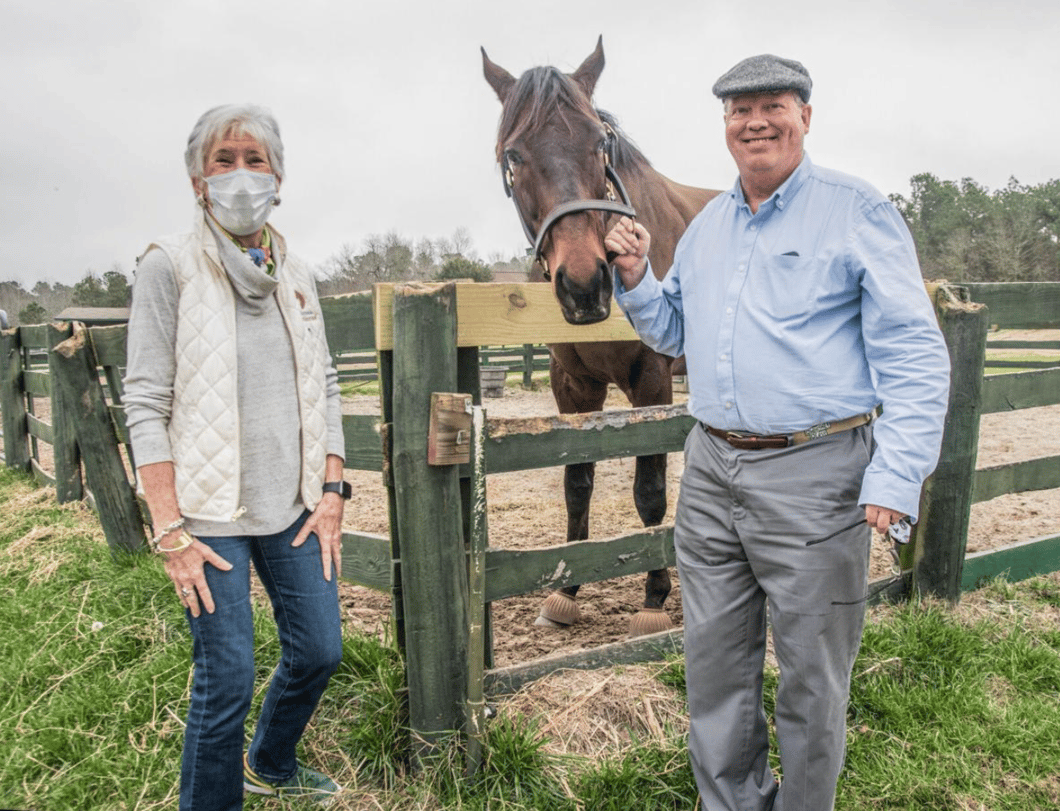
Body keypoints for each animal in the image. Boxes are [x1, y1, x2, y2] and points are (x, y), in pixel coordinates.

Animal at [483, 36, 720, 631]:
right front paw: (565, 593)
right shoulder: (573, 386)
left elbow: (650, 491)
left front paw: (654, 599)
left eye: (599, 142)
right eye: (513, 155)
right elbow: (576, 483)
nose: (585, 283)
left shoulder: (651, 382)